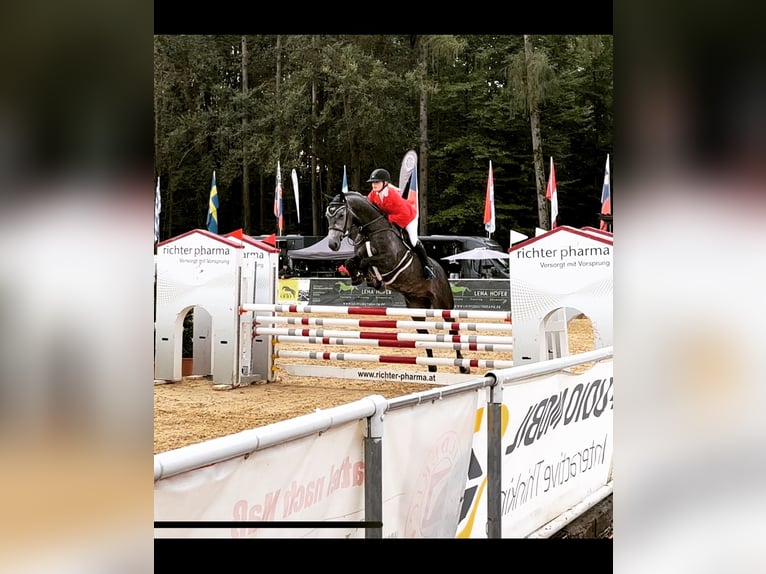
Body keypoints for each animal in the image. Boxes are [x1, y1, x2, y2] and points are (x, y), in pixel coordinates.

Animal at [322, 191, 472, 376]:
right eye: (328, 216)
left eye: (341, 215)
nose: (332, 244)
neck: (371, 231)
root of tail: (442, 272)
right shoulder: (360, 255)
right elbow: (352, 262)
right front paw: (360, 277)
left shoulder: (389, 261)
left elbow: (366, 261)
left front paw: (372, 279)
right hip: (416, 306)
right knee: (423, 333)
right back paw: (431, 366)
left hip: (443, 304)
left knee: (452, 330)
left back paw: (463, 366)